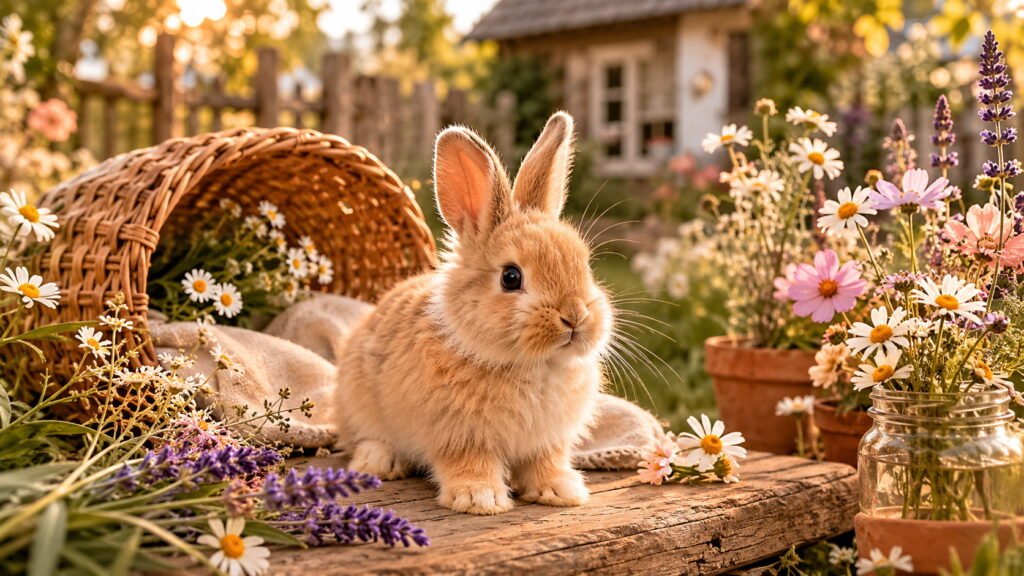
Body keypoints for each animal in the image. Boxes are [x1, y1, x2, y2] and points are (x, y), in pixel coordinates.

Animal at [333, 111, 613, 515]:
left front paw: (561, 491)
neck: (533, 365)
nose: (575, 317)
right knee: (365, 438)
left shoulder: (548, 440)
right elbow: (469, 462)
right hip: (357, 403)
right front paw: (480, 498)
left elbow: (545, 462)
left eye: (585, 265)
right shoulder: (459, 436)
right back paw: (379, 463)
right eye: (511, 277)